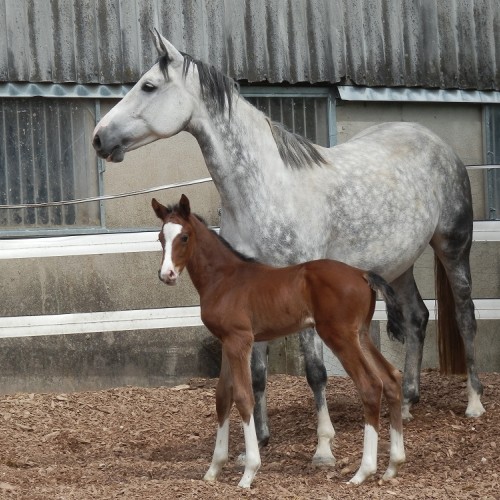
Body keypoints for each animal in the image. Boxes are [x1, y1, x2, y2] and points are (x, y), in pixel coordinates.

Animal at [152, 195, 406, 488]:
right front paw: (213, 470)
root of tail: (362, 274)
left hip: (340, 336)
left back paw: (362, 472)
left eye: (184, 237)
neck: (225, 279)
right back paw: (393, 466)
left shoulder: (240, 340)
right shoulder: (227, 342)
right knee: (391, 378)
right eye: (161, 237)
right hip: (361, 334)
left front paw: (249, 472)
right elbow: (222, 397)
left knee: (370, 386)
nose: (167, 274)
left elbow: (243, 397)